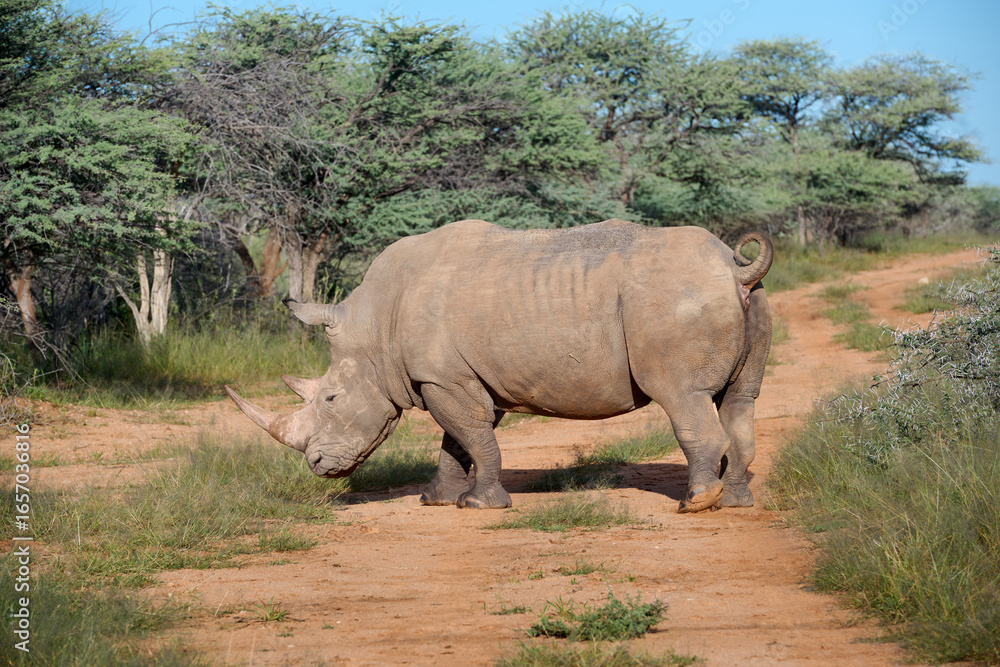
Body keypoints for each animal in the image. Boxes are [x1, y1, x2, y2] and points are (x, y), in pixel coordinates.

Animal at [226, 219, 772, 513]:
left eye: (331, 399)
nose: (317, 466)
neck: (374, 327)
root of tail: (734, 267)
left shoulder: (443, 377)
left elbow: (473, 436)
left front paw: (477, 505)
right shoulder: (458, 375)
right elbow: (458, 440)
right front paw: (435, 500)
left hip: (672, 301)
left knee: (683, 398)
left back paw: (694, 503)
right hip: (749, 301)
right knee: (739, 400)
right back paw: (733, 502)